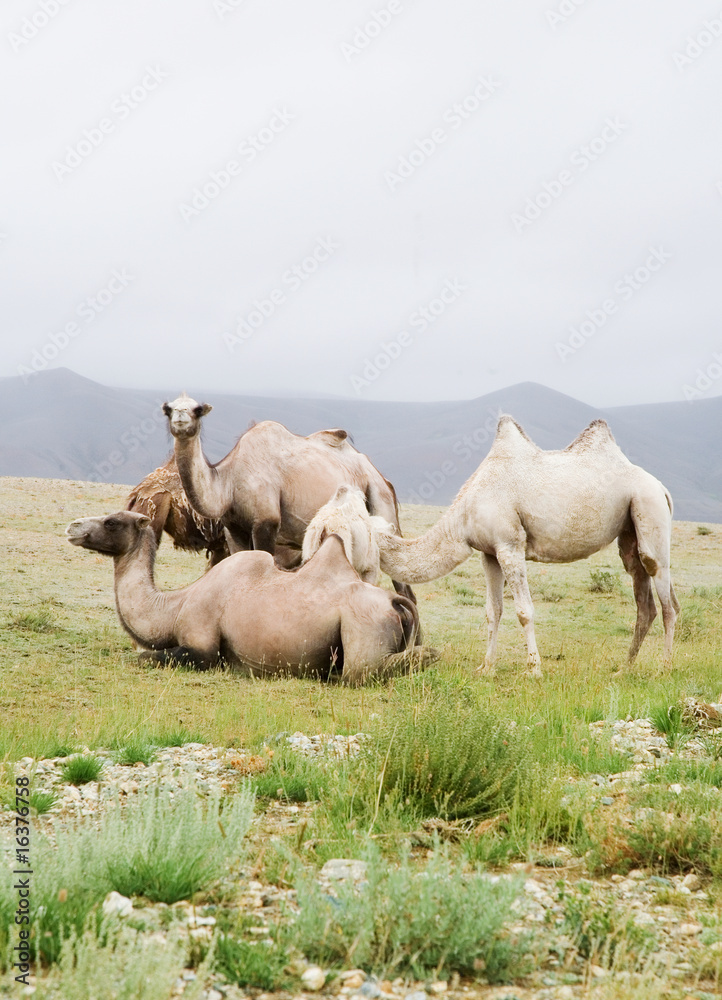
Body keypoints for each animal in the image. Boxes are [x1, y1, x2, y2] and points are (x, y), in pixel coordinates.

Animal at [66, 511, 435, 685]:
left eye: (112, 522)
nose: (72, 527)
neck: (174, 606)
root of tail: (392, 603)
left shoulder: (202, 645)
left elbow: (145, 657)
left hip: (364, 627)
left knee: (372, 669)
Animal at [161, 394, 416, 602]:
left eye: (197, 409)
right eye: (168, 409)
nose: (181, 417)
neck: (229, 483)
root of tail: (382, 477)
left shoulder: (266, 523)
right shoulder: (234, 529)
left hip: (381, 500)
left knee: (404, 588)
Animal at [375, 415, 680, 677]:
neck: (462, 516)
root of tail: (662, 488)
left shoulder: (510, 545)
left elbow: (524, 611)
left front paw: (533, 669)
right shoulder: (489, 553)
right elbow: (492, 611)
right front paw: (486, 667)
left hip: (649, 507)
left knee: (667, 599)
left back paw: (664, 667)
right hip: (630, 530)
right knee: (644, 600)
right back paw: (624, 668)